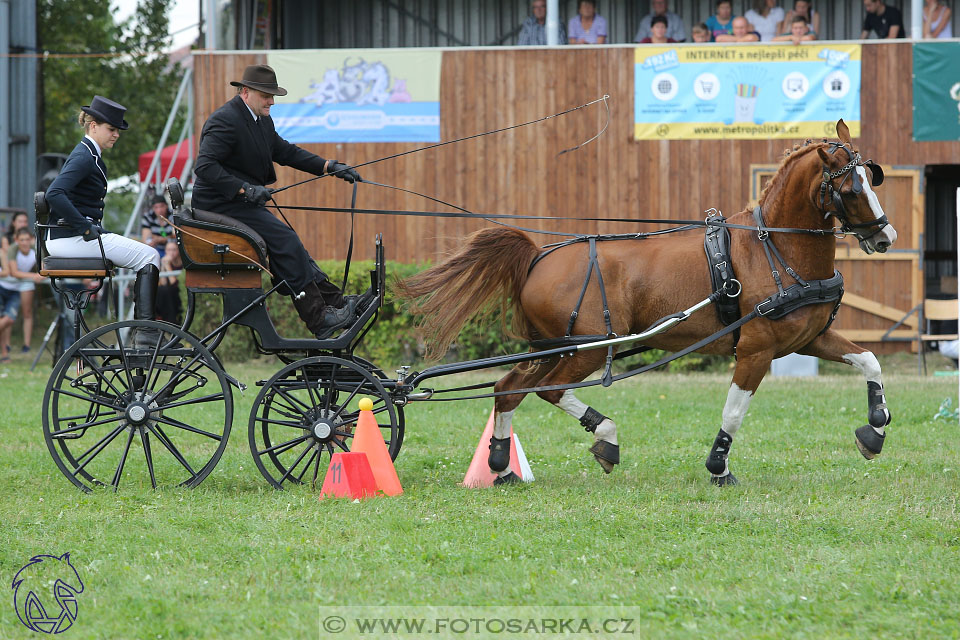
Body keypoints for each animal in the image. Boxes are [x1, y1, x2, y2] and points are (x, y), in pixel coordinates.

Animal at [396, 121, 892, 484]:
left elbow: (869, 360)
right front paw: (719, 467)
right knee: (548, 390)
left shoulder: (809, 338)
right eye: (851, 189)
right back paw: (606, 438)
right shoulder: (755, 349)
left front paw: (875, 427)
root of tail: (537, 257)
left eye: (873, 179)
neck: (773, 250)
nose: (886, 236)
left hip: (552, 348)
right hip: (585, 349)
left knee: (507, 388)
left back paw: (501, 467)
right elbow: (734, 411)